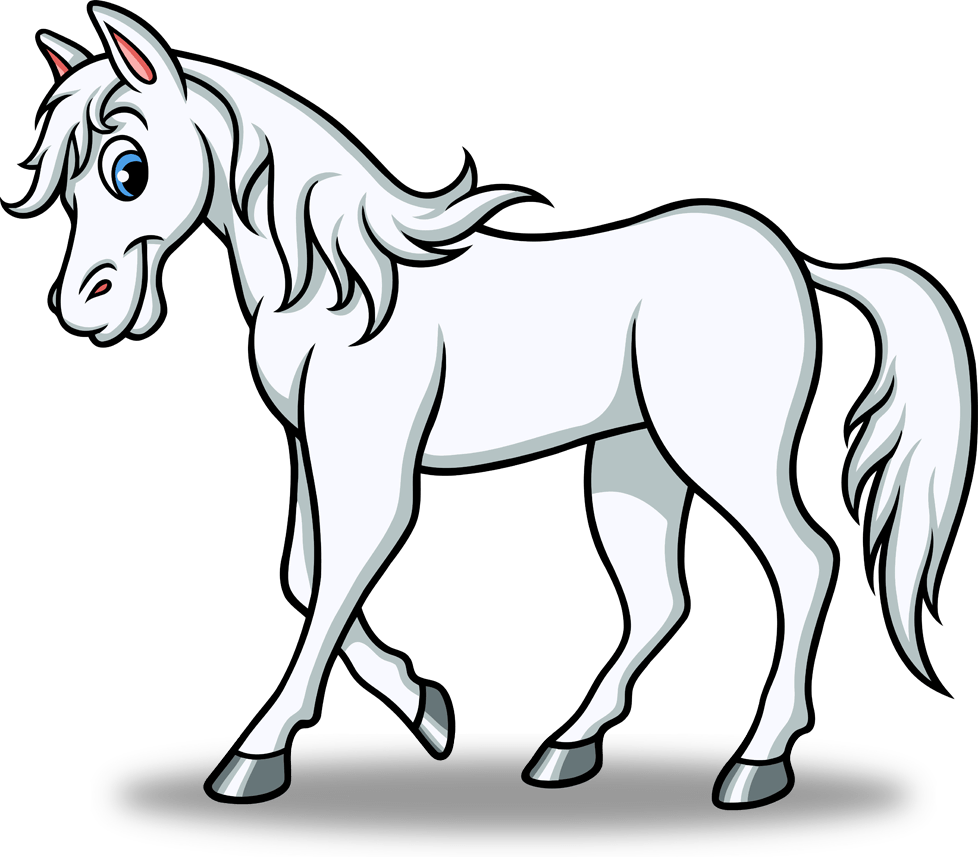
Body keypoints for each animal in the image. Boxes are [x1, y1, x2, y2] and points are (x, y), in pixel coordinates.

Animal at [17, 8, 969, 810]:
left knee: (802, 562)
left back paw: (755, 763)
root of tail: (797, 263)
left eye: (128, 169)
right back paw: (567, 748)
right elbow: (305, 576)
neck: (346, 282)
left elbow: (338, 577)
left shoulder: (367, 457)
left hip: (720, 452)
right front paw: (428, 713)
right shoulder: (311, 444)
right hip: (634, 461)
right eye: (66, 186)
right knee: (658, 599)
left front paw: (257, 755)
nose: (86, 308)